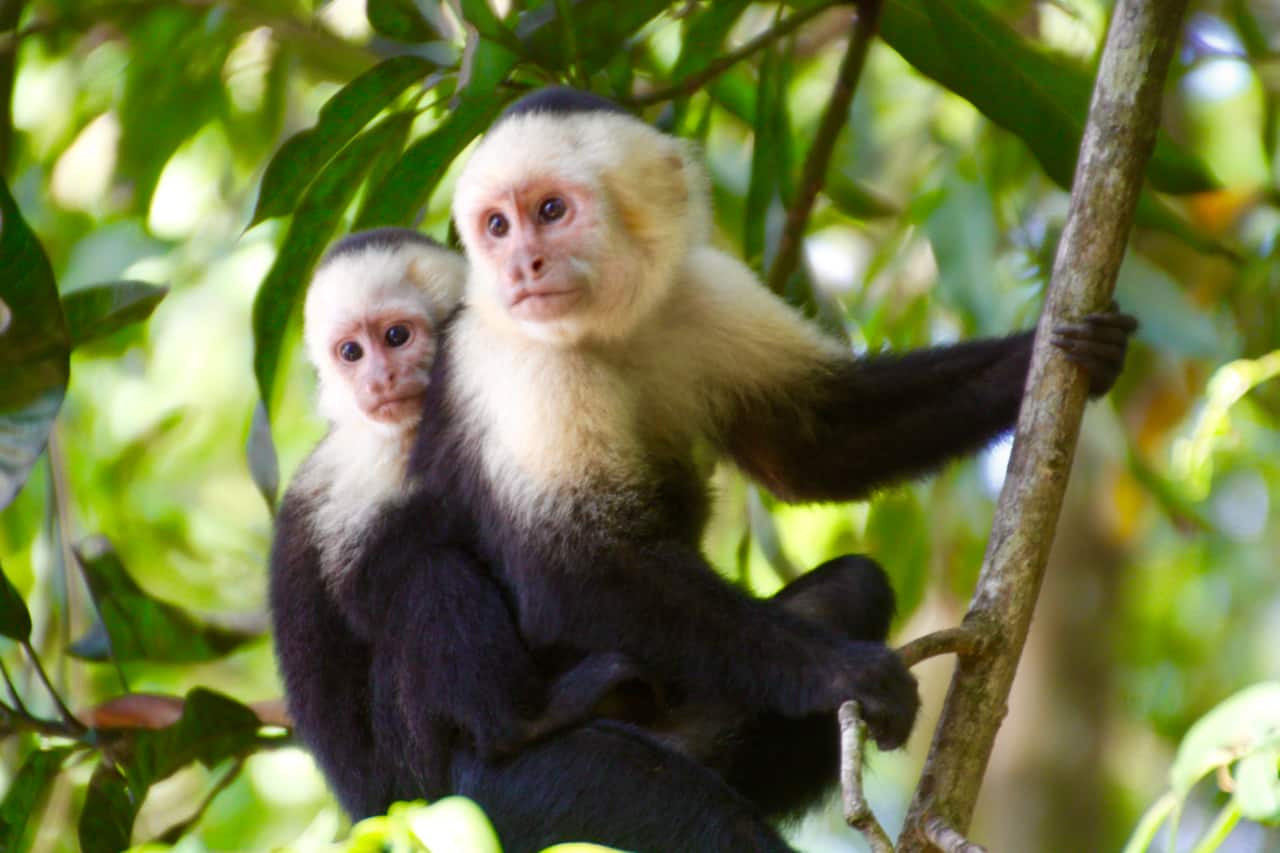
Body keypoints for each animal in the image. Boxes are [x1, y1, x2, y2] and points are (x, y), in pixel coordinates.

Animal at [268, 225, 650, 819]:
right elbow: (366, 586)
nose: (378, 379)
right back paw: (523, 720)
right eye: (351, 352)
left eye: (396, 337)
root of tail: (372, 806)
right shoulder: (364, 469)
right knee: (429, 576)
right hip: (415, 762)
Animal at [353, 87, 1141, 850]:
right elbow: (572, 570)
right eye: (495, 226)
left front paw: (1052, 355)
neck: (605, 331)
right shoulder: (514, 362)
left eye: (550, 211)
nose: (521, 266)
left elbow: (817, 442)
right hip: (475, 795)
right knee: (650, 797)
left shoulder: (705, 290)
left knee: (851, 589)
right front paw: (842, 672)